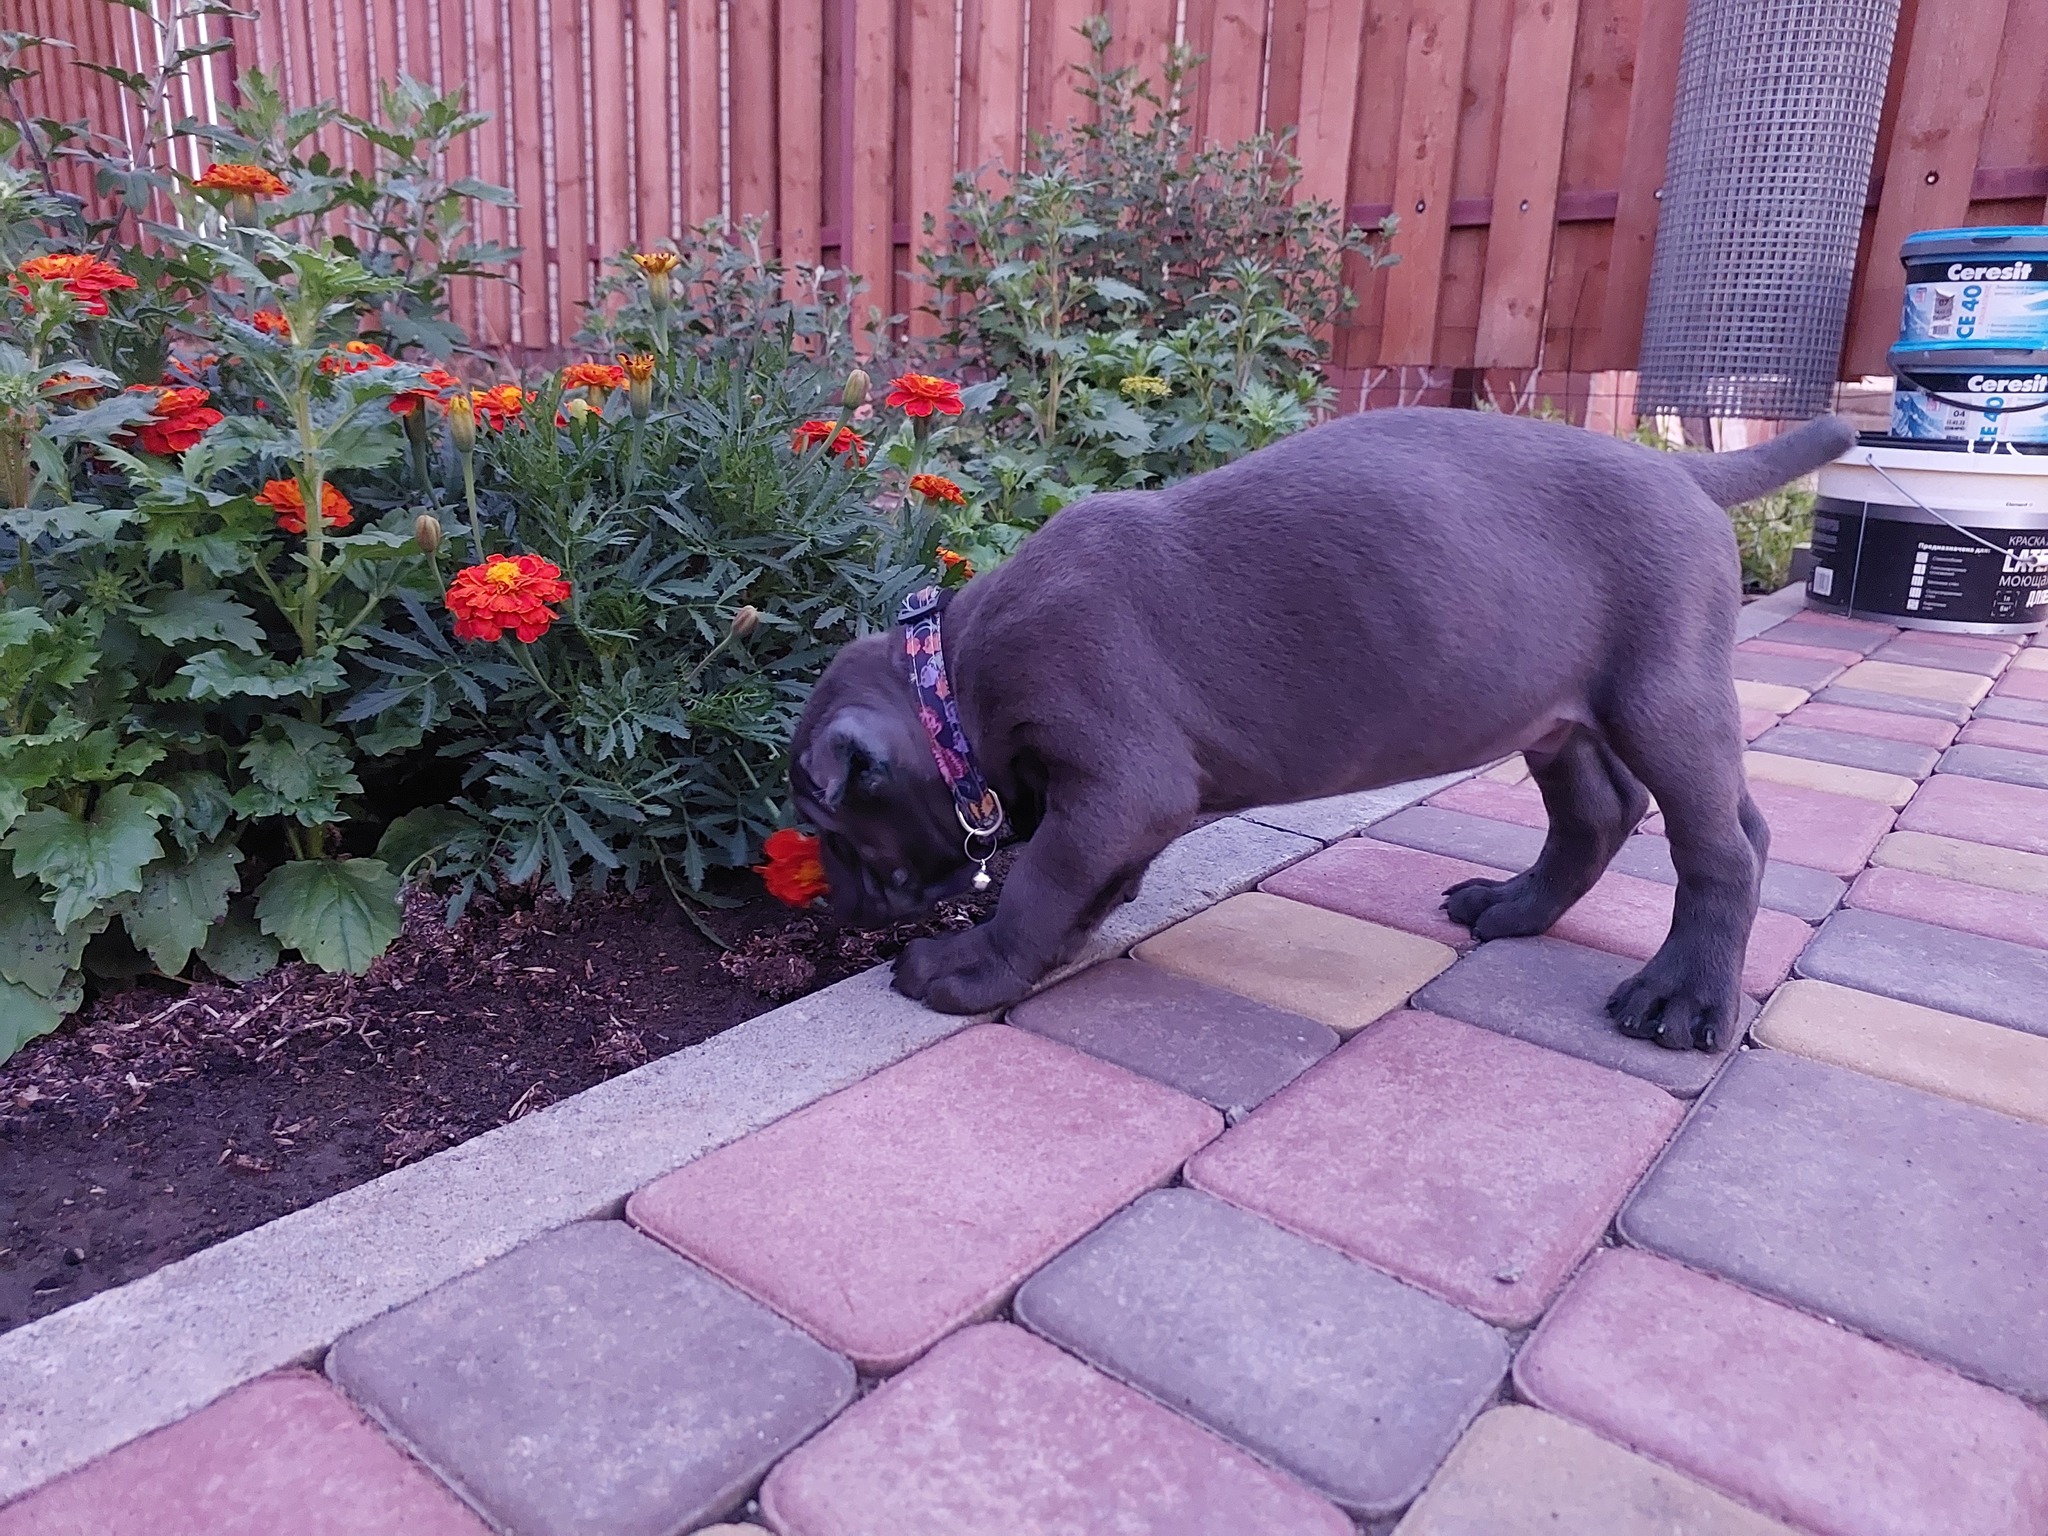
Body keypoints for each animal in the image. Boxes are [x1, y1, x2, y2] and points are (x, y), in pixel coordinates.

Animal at [786, 409, 1859, 1056]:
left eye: (833, 831)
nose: (833, 908)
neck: (954, 675)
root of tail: (1683, 473)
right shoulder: (1120, 806)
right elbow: (1085, 881)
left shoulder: (1120, 776)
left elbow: (1042, 876)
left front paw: (972, 967)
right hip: (1555, 710)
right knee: (1599, 810)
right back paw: (1513, 907)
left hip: (1662, 696)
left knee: (1727, 843)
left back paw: (1682, 997)